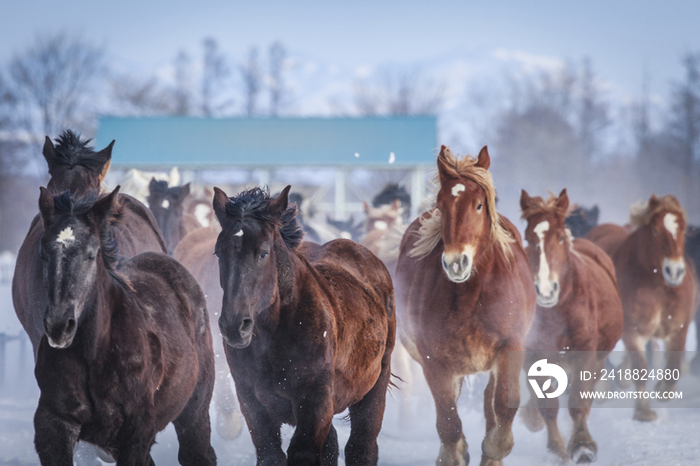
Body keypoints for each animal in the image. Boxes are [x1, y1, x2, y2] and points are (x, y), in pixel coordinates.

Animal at [31, 187, 216, 466]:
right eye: (43, 253)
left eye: (91, 253)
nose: (59, 326)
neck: (96, 355)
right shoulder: (54, 425)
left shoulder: (136, 432)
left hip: (194, 412)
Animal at [394, 146, 536, 466]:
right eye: (441, 204)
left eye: (480, 204)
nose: (456, 262)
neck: (472, 297)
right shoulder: (435, 362)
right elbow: (449, 423)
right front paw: (456, 454)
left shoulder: (510, 347)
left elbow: (504, 407)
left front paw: (493, 449)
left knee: (489, 403)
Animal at [520, 188, 624, 462]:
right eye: (528, 238)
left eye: (558, 237)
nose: (545, 290)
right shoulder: (534, 354)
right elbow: (546, 404)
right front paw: (556, 449)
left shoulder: (584, 354)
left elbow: (578, 401)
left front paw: (582, 446)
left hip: (598, 356)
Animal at [588, 195, 696, 420]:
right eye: (655, 230)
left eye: (682, 229)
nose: (674, 271)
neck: (658, 286)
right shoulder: (633, 331)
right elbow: (641, 368)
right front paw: (643, 412)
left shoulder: (678, 329)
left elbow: (673, 364)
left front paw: (663, 390)